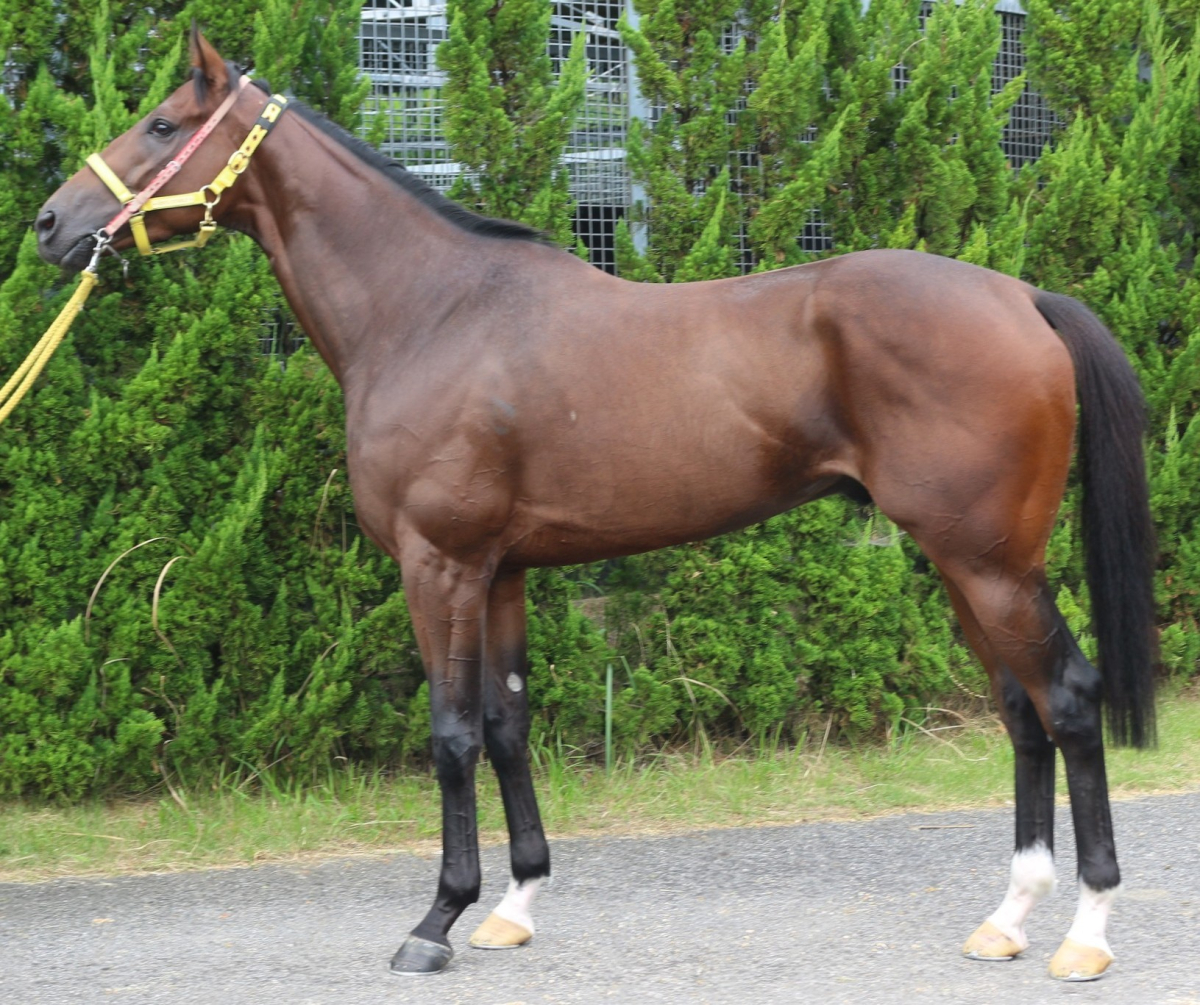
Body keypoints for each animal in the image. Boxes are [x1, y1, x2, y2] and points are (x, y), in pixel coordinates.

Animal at [35, 31, 1156, 982]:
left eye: (164, 125)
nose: (51, 223)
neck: (431, 312)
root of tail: (1023, 298)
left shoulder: (438, 562)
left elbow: (450, 734)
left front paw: (435, 922)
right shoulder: (500, 570)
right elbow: (506, 723)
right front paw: (513, 906)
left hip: (989, 560)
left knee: (1068, 699)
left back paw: (1087, 933)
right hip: (964, 562)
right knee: (1019, 710)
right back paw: (1007, 919)